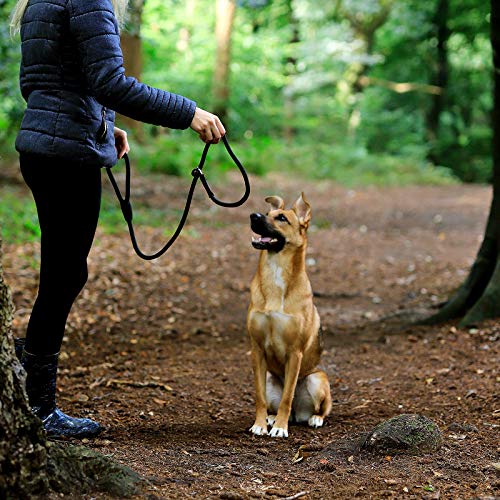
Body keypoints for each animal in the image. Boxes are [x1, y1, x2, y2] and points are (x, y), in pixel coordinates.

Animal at [247, 193, 332, 436]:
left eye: (282, 218)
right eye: (267, 213)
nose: (253, 215)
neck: (276, 270)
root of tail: (297, 413)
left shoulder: (295, 353)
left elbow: (287, 396)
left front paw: (280, 429)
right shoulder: (256, 350)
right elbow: (259, 397)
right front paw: (259, 424)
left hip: (317, 378)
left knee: (320, 408)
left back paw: (312, 418)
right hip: (268, 377)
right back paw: (271, 418)